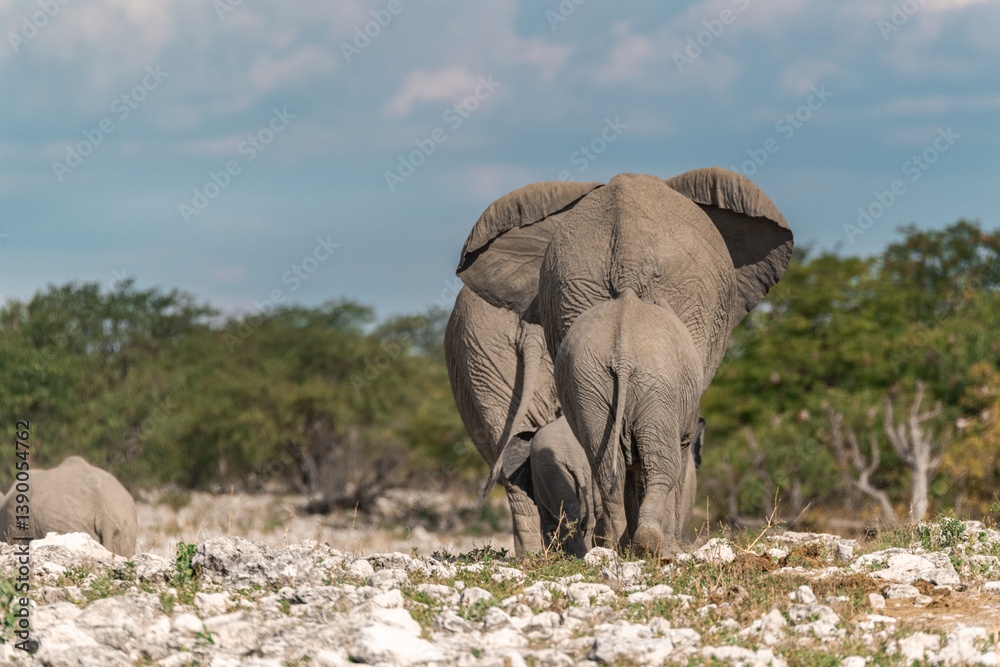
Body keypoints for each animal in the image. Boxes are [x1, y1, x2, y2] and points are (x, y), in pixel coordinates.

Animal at [454, 169, 792, 557]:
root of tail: (627, 275)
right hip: (653, 379)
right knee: (660, 460)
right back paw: (651, 547)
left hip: (585, 378)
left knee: (606, 467)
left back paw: (617, 546)